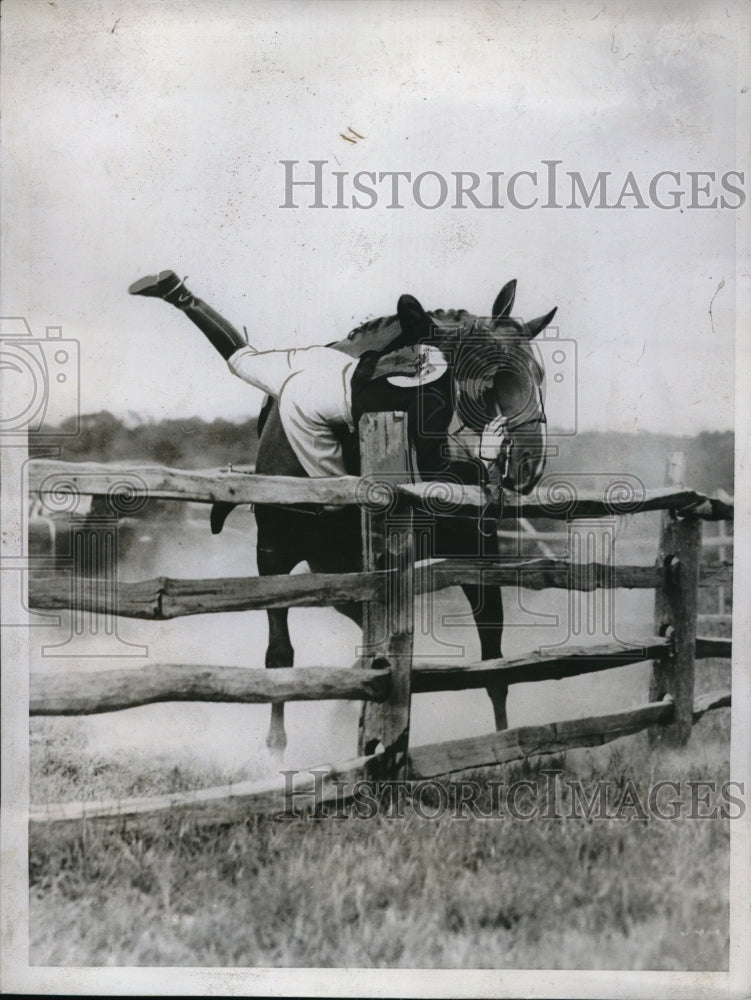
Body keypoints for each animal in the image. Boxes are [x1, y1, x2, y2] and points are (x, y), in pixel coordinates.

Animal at [245, 282, 552, 752]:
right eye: (492, 379)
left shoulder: (471, 557)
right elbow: (280, 656)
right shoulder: (274, 558)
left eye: (539, 374)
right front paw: (276, 750)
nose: (528, 465)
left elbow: (492, 660)